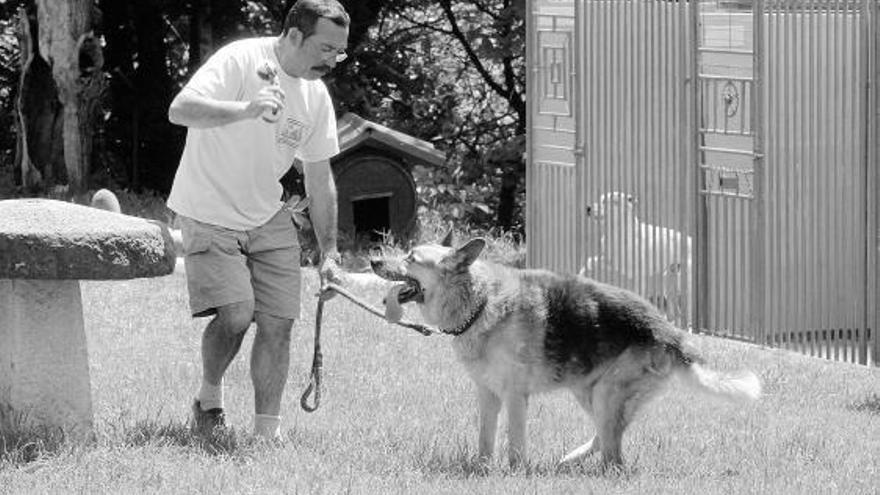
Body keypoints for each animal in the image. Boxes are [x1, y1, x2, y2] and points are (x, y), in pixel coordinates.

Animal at [368, 234, 760, 470]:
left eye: (410, 257)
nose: (372, 261)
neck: (480, 302)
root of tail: (672, 334)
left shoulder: (514, 397)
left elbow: (514, 445)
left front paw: (514, 474)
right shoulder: (488, 395)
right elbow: (485, 440)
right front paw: (482, 470)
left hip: (604, 394)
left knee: (614, 457)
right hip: (589, 393)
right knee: (604, 440)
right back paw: (569, 461)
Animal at [584, 192, 696, 324]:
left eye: (609, 201)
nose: (588, 208)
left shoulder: (638, 277)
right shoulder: (609, 262)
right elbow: (590, 261)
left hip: (683, 282)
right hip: (669, 280)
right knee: (674, 311)